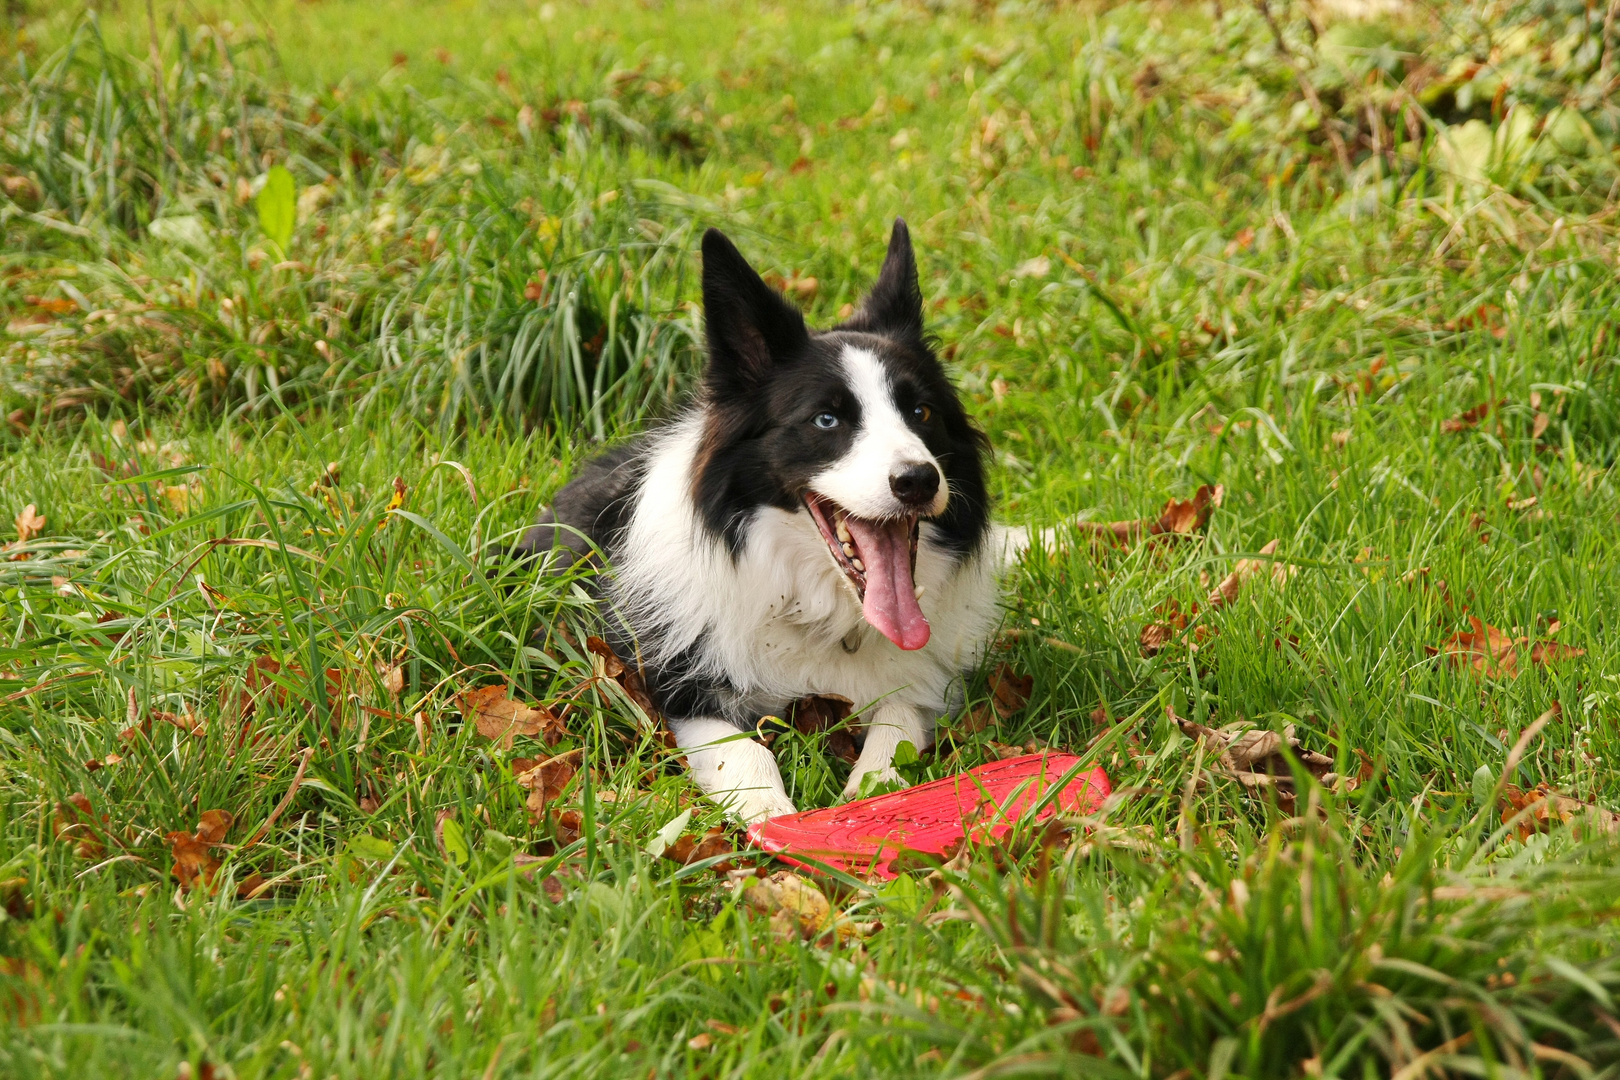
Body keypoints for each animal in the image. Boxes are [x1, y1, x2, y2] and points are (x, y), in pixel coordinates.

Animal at [518, 221, 1049, 829]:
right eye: (826, 419)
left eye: (922, 413)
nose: (918, 480)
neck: (819, 609)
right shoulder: (670, 684)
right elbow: (743, 750)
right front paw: (769, 813)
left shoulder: (920, 680)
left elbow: (897, 720)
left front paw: (873, 789)